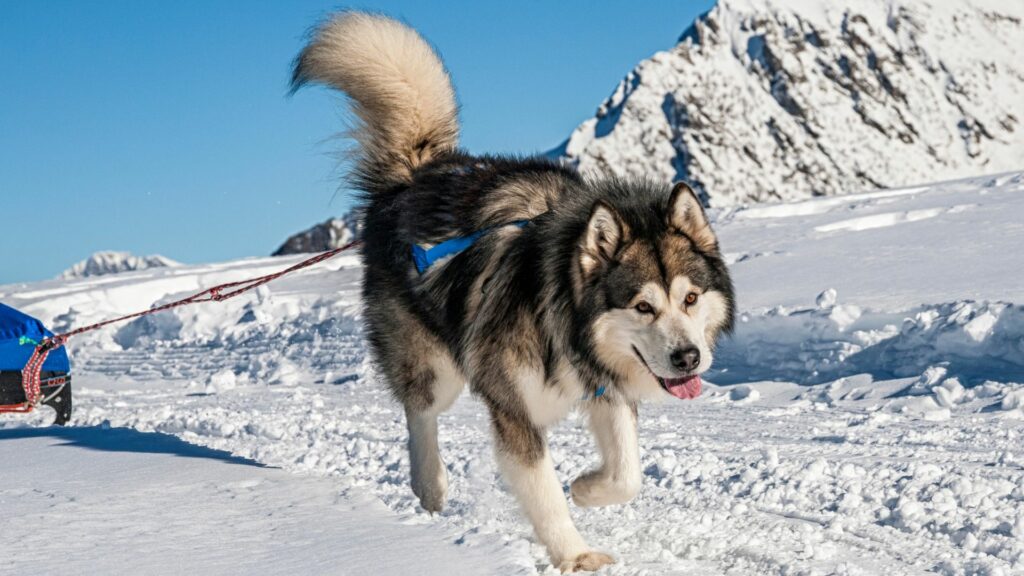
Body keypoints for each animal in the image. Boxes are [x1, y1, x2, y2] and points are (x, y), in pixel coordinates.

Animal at [294, 12, 737, 569]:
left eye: (691, 299)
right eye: (642, 306)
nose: (688, 358)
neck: (562, 316)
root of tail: (415, 176)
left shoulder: (603, 384)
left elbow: (627, 474)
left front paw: (587, 487)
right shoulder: (514, 410)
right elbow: (543, 493)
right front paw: (575, 556)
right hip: (436, 367)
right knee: (421, 412)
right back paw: (430, 485)